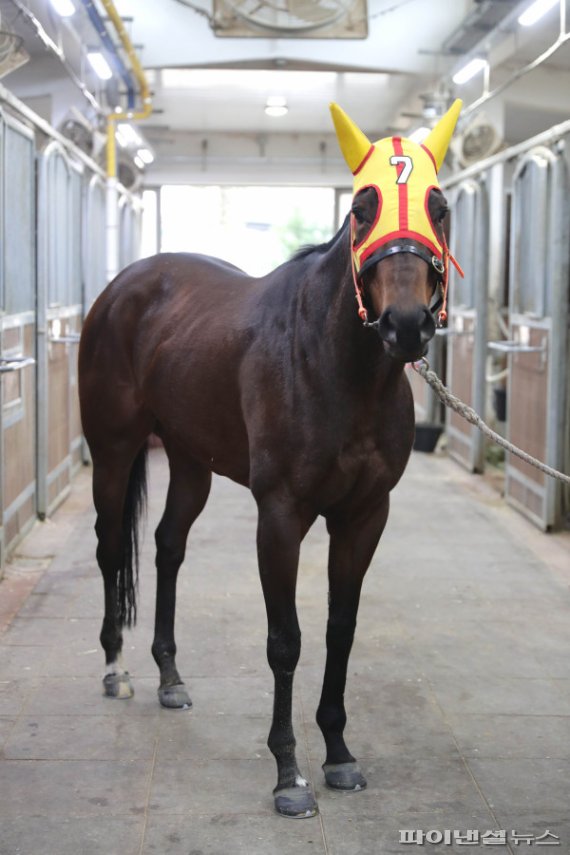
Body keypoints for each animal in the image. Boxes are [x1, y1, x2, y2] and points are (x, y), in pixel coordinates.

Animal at [79, 100, 462, 816]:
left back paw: (169, 677)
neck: (336, 366)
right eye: (363, 206)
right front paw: (289, 774)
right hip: (113, 449)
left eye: (440, 206)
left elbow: (340, 630)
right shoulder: (280, 516)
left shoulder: (364, 516)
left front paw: (338, 753)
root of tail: (126, 286)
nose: (405, 325)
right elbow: (286, 640)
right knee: (113, 547)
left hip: (191, 461)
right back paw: (116, 668)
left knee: (168, 545)